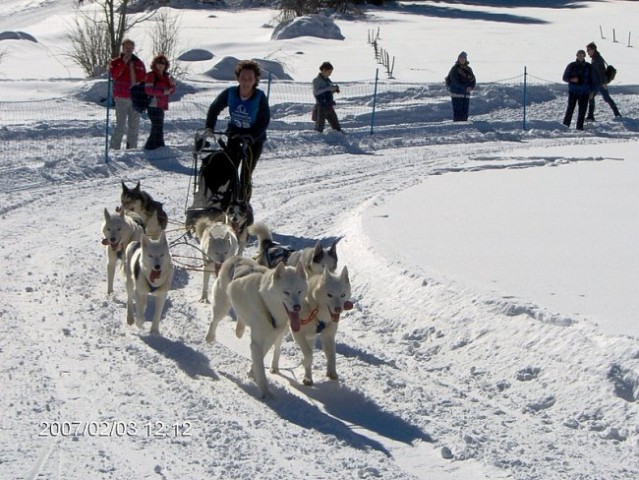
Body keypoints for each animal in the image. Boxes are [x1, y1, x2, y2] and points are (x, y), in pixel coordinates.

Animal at [206, 256, 308, 400]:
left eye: (299, 291)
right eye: (286, 292)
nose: (297, 307)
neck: (266, 304)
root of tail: (235, 257)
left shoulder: (269, 337)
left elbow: (260, 358)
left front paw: (252, 373)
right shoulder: (257, 342)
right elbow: (260, 367)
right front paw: (266, 392)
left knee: (241, 318)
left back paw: (240, 329)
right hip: (222, 305)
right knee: (214, 321)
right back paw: (210, 337)